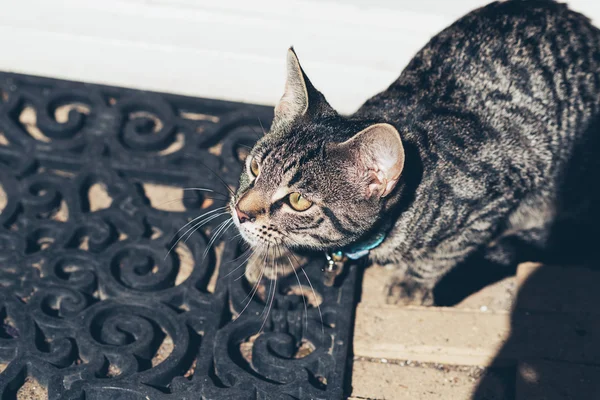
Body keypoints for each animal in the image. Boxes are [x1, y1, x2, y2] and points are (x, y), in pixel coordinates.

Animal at [229, 0, 600, 304]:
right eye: (255, 168)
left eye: (298, 201)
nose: (240, 212)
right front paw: (279, 256)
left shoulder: (495, 196)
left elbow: (448, 250)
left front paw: (413, 282)